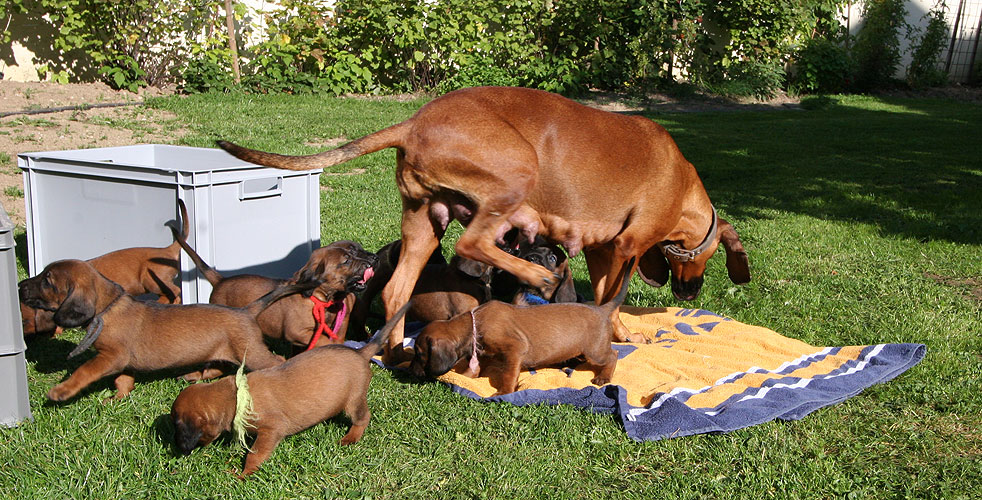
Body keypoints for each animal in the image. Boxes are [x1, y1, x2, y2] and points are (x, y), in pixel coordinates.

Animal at [18, 259, 318, 401]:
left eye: (47, 281)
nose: (20, 285)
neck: (107, 309)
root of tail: (246, 311)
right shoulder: (123, 361)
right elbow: (123, 380)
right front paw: (117, 397)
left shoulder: (110, 357)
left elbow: (84, 370)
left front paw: (62, 391)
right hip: (222, 352)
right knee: (218, 369)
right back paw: (192, 376)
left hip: (252, 353)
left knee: (277, 361)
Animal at [171, 302, 410, 477]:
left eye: (178, 426)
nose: (176, 449)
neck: (236, 396)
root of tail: (361, 353)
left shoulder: (271, 430)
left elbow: (255, 455)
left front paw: (244, 474)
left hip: (354, 401)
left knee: (363, 418)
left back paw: (351, 437)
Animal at [173, 233, 377, 350]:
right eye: (346, 260)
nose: (373, 259)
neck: (319, 298)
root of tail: (221, 280)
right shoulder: (298, 332)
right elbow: (326, 341)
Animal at [409, 258, 635, 396]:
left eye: (419, 353)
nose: (409, 371)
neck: (474, 322)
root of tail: (603, 309)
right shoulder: (482, 351)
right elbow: (474, 369)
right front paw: (464, 377)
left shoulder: (514, 350)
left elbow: (508, 375)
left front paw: (503, 392)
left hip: (595, 351)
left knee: (613, 355)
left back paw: (604, 376)